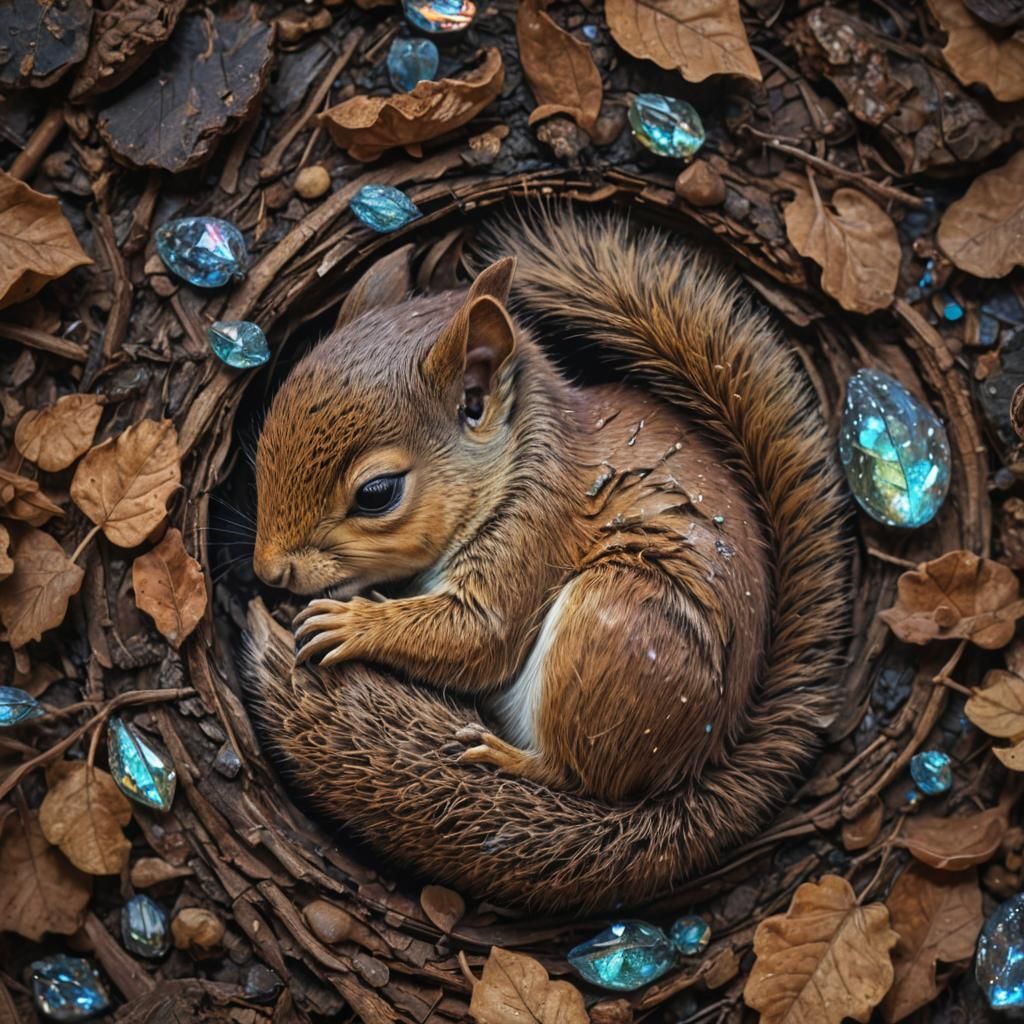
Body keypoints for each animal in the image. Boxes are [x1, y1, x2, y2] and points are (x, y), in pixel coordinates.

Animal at [245, 210, 849, 912]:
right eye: (266, 434)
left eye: (377, 494)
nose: (269, 572)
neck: (519, 465)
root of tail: (704, 760)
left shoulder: (536, 535)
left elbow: (481, 637)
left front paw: (352, 624)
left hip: (615, 627)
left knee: (579, 777)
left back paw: (509, 759)